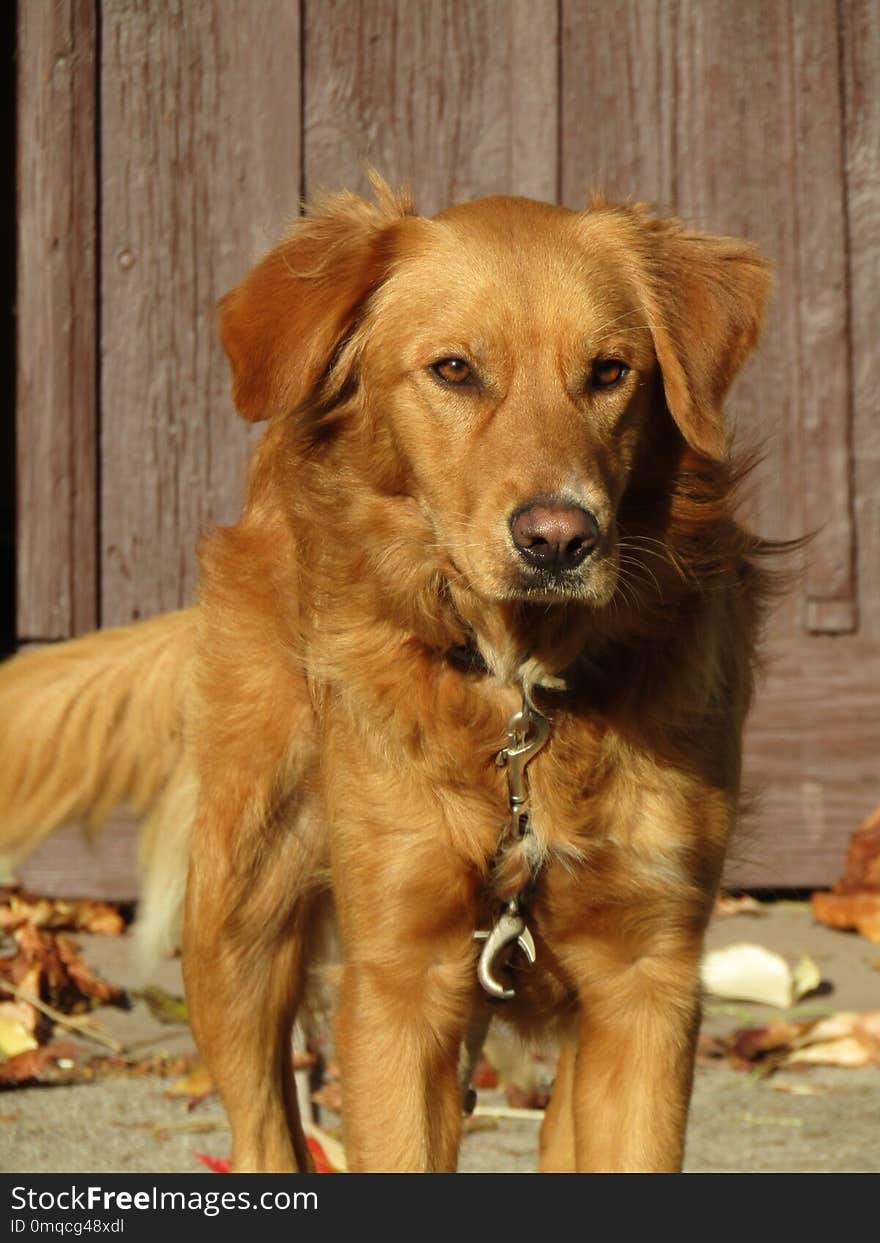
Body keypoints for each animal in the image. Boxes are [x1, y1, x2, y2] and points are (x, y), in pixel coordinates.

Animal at [3, 172, 780, 1163]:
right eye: (454, 369)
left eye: (611, 372)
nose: (559, 538)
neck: (520, 697)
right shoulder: (399, 983)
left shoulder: (647, 984)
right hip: (239, 914)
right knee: (266, 1124)